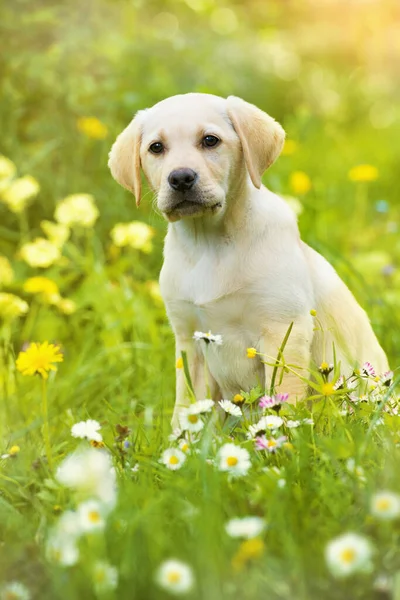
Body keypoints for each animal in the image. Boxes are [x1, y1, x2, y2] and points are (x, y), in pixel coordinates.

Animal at [108, 92, 390, 426]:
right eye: (156, 147)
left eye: (210, 140)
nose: (180, 178)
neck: (210, 244)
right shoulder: (189, 341)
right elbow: (188, 408)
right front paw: (181, 439)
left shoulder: (283, 331)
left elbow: (283, 396)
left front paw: (280, 433)